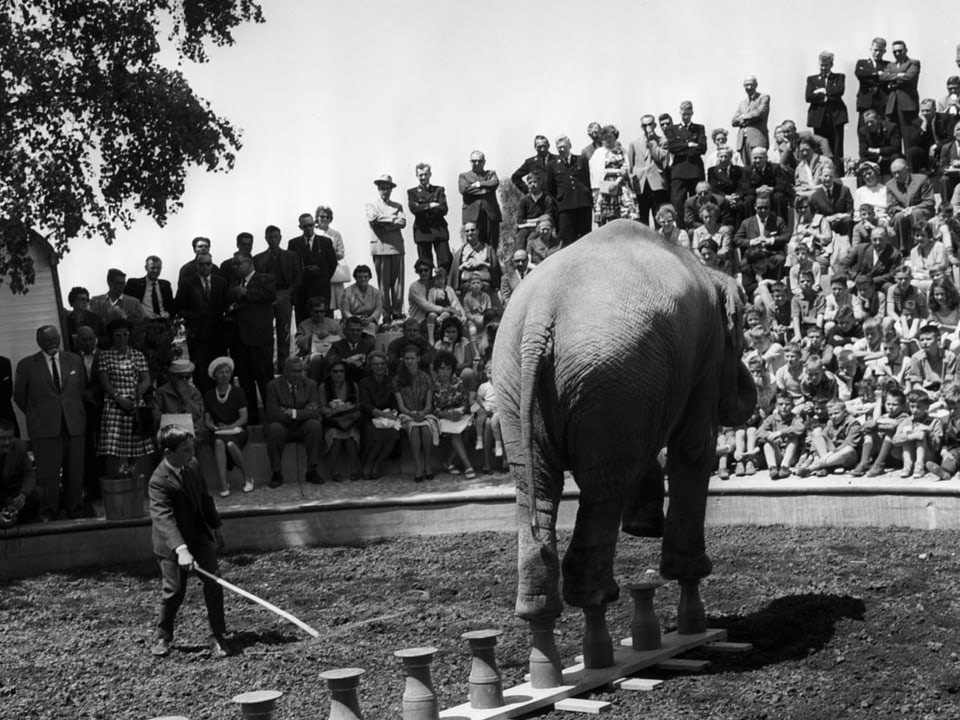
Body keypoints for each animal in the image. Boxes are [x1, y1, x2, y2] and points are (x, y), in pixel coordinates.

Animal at [496, 219, 756, 636]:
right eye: (743, 335)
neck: (709, 270)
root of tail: (540, 316)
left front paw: (644, 527)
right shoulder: (705, 353)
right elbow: (694, 448)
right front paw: (687, 575)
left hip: (524, 379)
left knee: (538, 484)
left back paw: (541, 615)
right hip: (610, 375)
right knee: (605, 484)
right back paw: (599, 599)